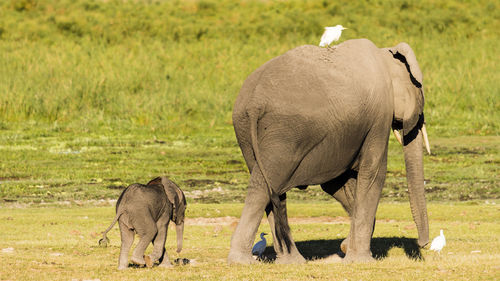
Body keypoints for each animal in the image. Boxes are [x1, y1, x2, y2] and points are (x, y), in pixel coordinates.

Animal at [229, 38, 428, 262]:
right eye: (421, 96)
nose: (424, 244)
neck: (384, 52)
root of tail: (254, 102)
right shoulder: (379, 118)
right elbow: (373, 174)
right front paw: (360, 260)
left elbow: (336, 183)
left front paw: (347, 248)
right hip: (284, 133)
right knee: (264, 187)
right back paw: (243, 261)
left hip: (246, 128)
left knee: (269, 187)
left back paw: (292, 262)